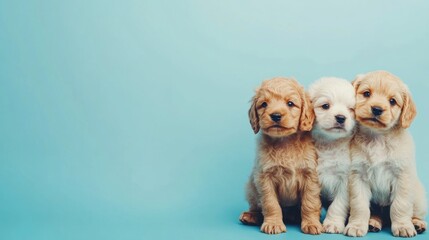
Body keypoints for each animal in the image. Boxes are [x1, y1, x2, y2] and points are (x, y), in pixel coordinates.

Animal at [237, 77, 320, 234]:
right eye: (264, 104)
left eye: (290, 103)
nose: (275, 115)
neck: (285, 142)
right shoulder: (264, 177)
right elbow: (270, 203)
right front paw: (273, 224)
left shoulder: (311, 175)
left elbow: (310, 202)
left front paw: (311, 223)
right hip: (250, 187)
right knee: (256, 206)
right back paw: (251, 216)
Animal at [308, 77, 354, 234]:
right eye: (325, 106)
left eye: (351, 109)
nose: (341, 117)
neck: (329, 144)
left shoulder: (345, 180)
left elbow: (337, 205)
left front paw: (332, 224)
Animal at [342, 70, 426, 237]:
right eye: (366, 93)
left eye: (392, 101)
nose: (377, 109)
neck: (378, 138)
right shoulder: (358, 176)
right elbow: (360, 205)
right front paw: (356, 225)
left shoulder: (402, 177)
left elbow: (400, 205)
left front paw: (403, 226)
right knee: (376, 213)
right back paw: (373, 223)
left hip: (419, 199)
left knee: (415, 213)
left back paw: (417, 223)